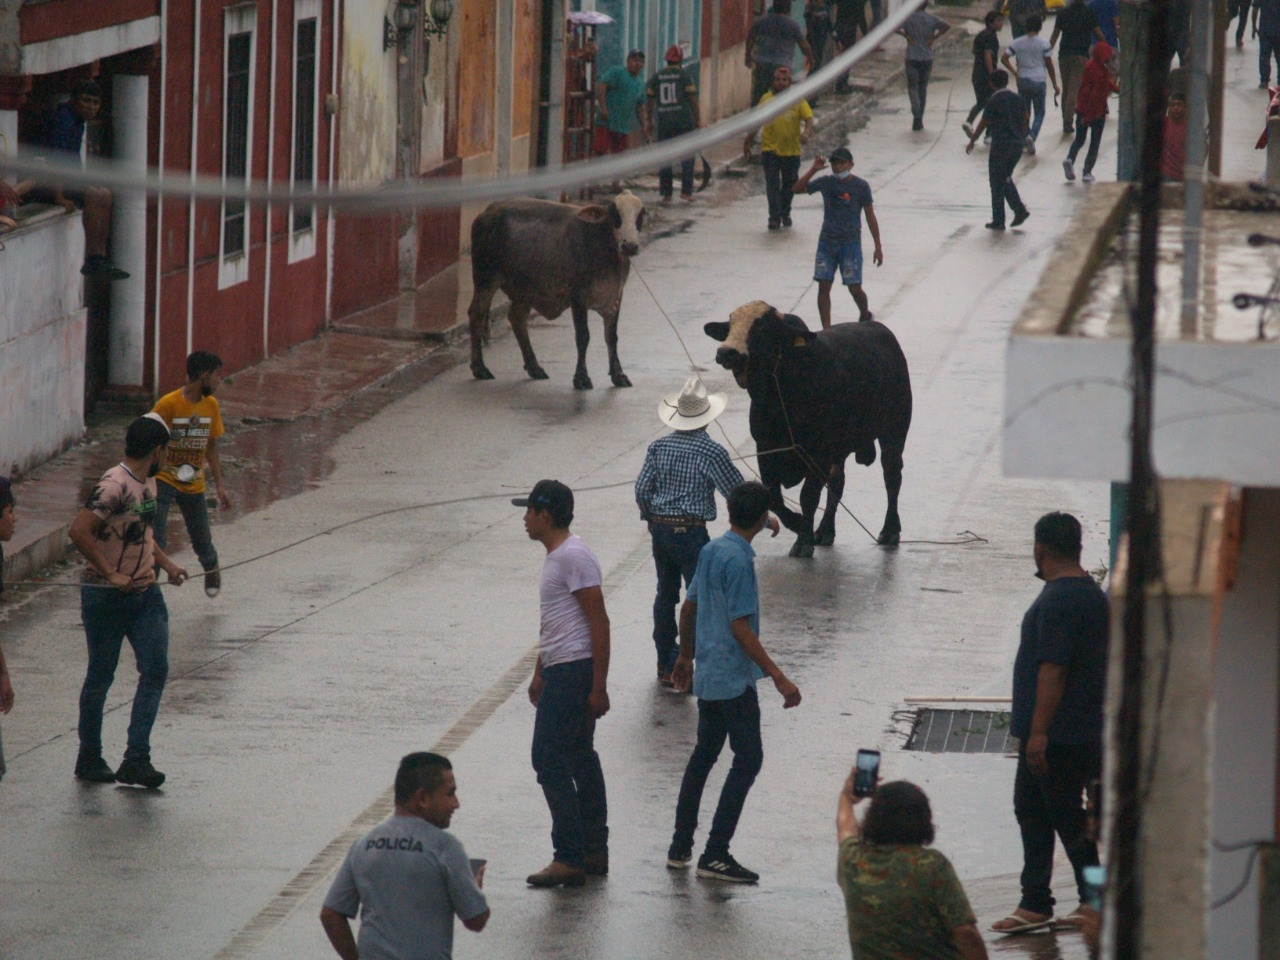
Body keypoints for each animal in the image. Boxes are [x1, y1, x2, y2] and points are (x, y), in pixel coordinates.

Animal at [711, 304, 911, 560]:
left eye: (762, 327)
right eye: (731, 325)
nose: (727, 352)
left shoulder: (819, 451)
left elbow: (808, 496)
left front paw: (803, 540)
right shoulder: (766, 449)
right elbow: (774, 497)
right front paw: (799, 525)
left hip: (894, 432)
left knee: (892, 476)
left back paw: (890, 530)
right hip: (841, 449)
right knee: (838, 481)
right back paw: (825, 530)